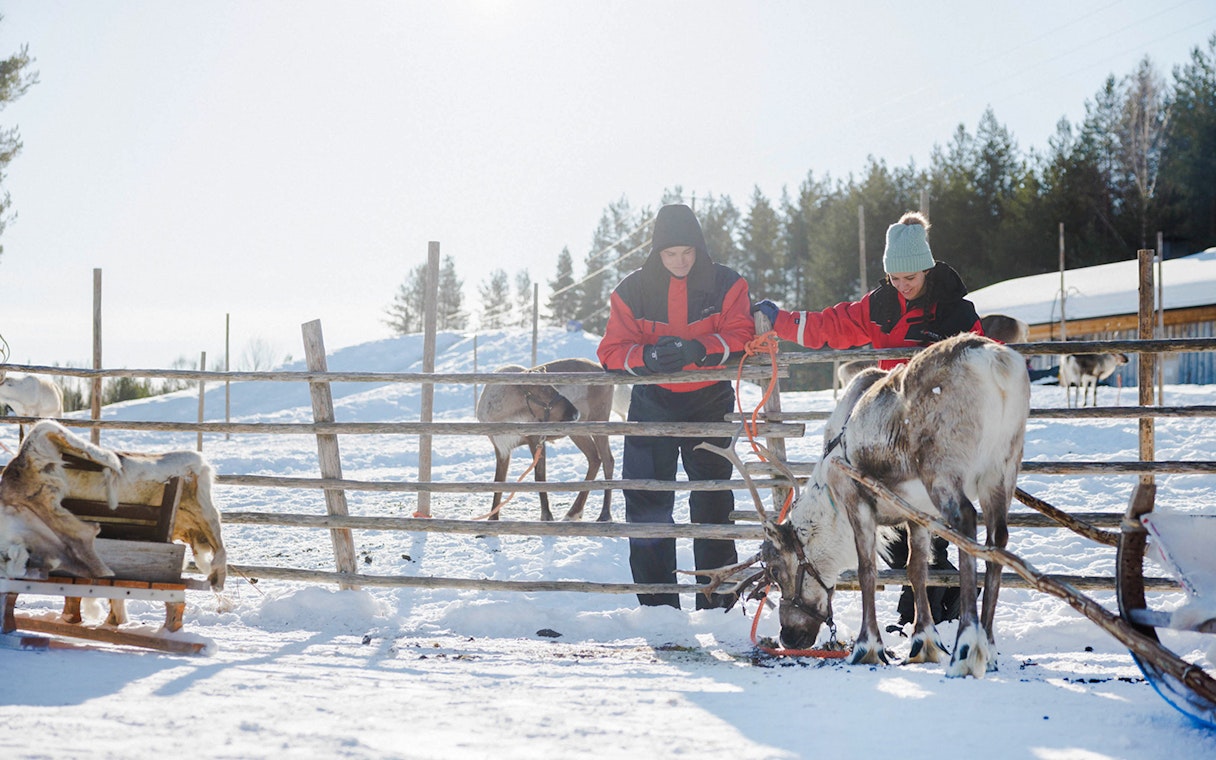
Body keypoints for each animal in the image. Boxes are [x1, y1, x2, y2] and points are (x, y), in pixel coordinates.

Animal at [476, 358, 615, 521]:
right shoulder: (501, 446)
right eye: (544, 389)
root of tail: (601, 369)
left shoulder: (535, 439)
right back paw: (573, 512)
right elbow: (499, 481)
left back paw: (604, 514)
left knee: (607, 460)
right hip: (578, 432)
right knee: (594, 458)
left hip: (599, 421)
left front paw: (547, 516)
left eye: (553, 387)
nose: (575, 413)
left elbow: (539, 476)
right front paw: (493, 518)